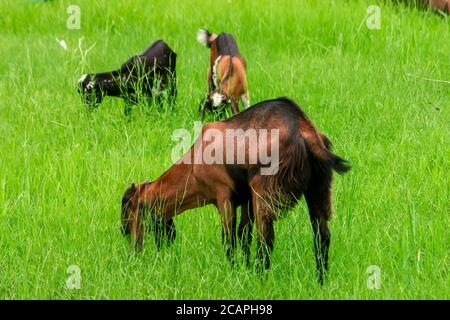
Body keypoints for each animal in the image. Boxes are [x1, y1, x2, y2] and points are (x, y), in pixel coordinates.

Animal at [121, 97, 350, 282]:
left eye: (128, 210)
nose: (131, 253)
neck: (193, 167)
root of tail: (304, 130)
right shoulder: (245, 200)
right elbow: (243, 236)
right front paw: (243, 269)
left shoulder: (224, 198)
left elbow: (229, 240)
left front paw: (233, 273)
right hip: (318, 187)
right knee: (322, 236)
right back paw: (321, 282)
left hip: (264, 189)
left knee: (266, 239)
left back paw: (260, 280)